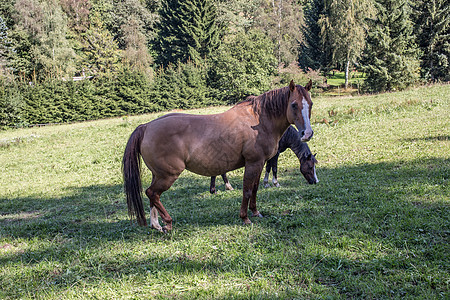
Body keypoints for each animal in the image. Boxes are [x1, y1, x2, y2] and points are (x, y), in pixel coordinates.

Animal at [122, 79, 312, 232]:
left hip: (158, 175)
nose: (307, 133)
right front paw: (245, 218)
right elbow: (247, 190)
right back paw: (168, 222)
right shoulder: (253, 163)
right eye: (294, 104)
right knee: (152, 193)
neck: (258, 121)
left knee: (153, 196)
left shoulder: (260, 164)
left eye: (310, 103)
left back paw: (156, 224)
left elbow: (255, 188)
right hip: (168, 176)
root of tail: (147, 126)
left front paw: (256, 212)